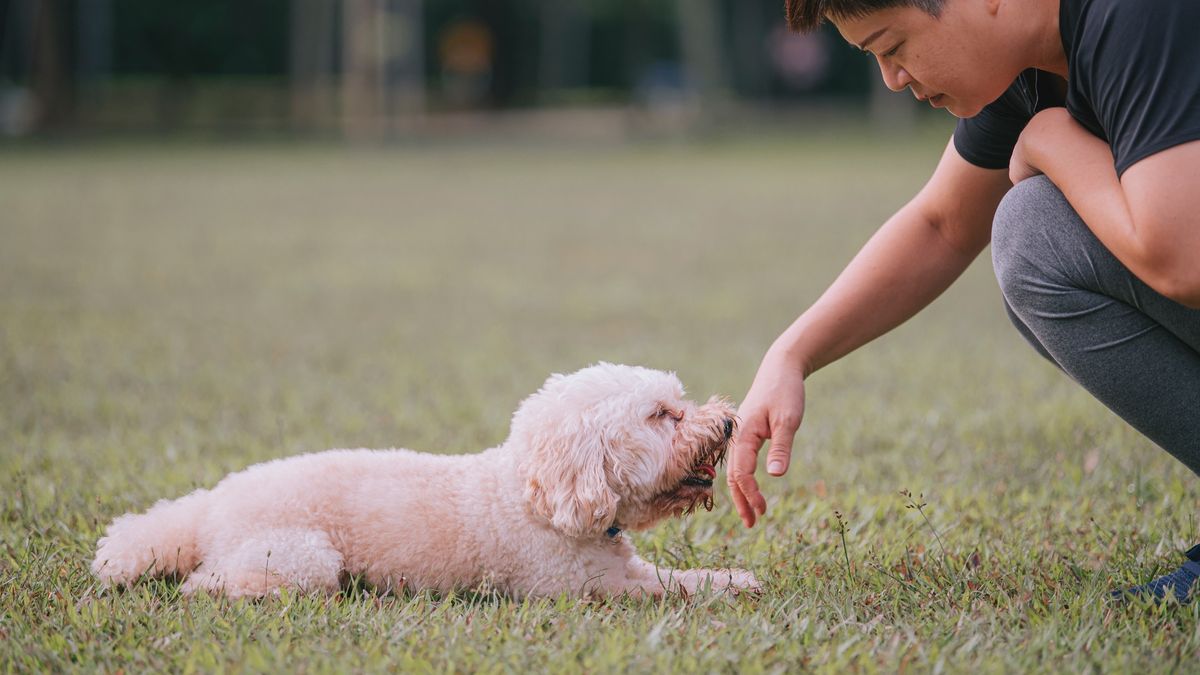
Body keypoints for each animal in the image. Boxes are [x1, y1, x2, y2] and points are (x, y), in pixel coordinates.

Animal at [93, 360, 758, 595]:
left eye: (678, 401)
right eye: (663, 415)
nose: (729, 421)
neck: (532, 494)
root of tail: (208, 506)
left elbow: (680, 576)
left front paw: (731, 577)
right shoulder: (582, 587)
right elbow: (670, 588)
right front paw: (727, 586)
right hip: (301, 556)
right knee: (202, 585)